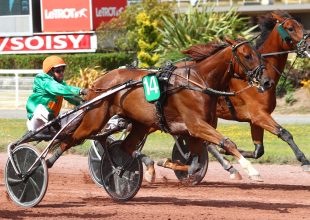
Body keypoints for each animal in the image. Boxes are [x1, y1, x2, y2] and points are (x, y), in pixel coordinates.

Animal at [46, 37, 272, 184]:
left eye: (258, 54)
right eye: (247, 55)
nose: (267, 81)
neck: (198, 83)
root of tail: (96, 83)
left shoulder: (192, 131)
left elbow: (195, 163)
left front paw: (168, 163)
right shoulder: (196, 125)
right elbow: (227, 142)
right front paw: (252, 171)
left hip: (139, 123)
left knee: (124, 146)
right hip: (95, 118)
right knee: (71, 138)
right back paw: (46, 161)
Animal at [205, 11, 310, 178]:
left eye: (301, 25)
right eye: (290, 28)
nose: (309, 45)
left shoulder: (255, 120)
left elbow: (258, 151)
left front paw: (228, 150)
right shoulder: (259, 115)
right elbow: (284, 133)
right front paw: (304, 161)